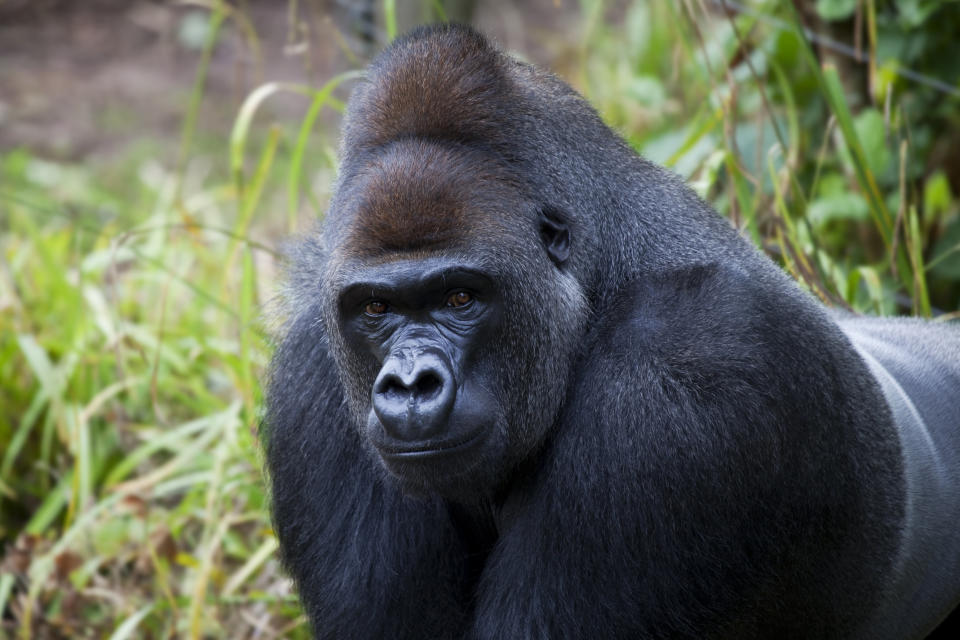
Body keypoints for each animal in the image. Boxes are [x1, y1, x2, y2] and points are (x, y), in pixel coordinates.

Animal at [262, 23, 960, 640]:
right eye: (376, 309)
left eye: (461, 297)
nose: (410, 384)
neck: (600, 274)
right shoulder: (314, 384)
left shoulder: (677, 376)